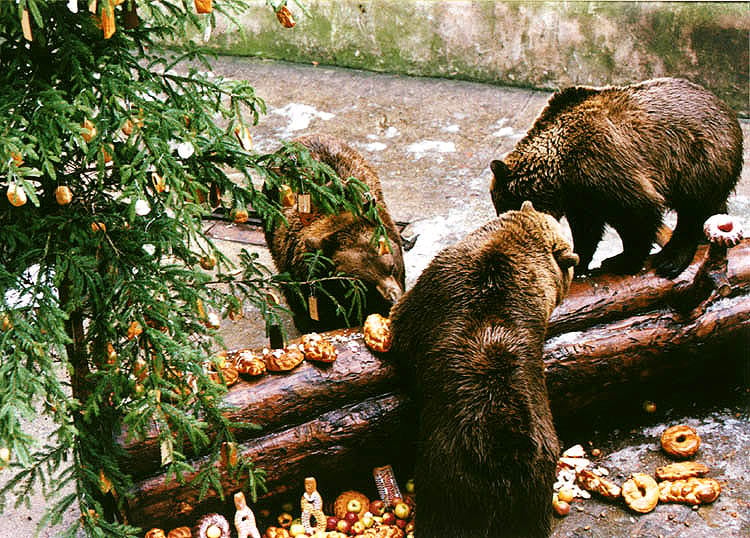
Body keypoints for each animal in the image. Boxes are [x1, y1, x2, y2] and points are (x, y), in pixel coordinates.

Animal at [490, 77, 744, 278]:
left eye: (504, 206)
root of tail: (728, 112)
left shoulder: (600, 164)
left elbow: (639, 212)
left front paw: (623, 261)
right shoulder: (580, 197)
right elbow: (587, 230)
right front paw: (579, 262)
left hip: (698, 157)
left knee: (694, 208)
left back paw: (671, 258)